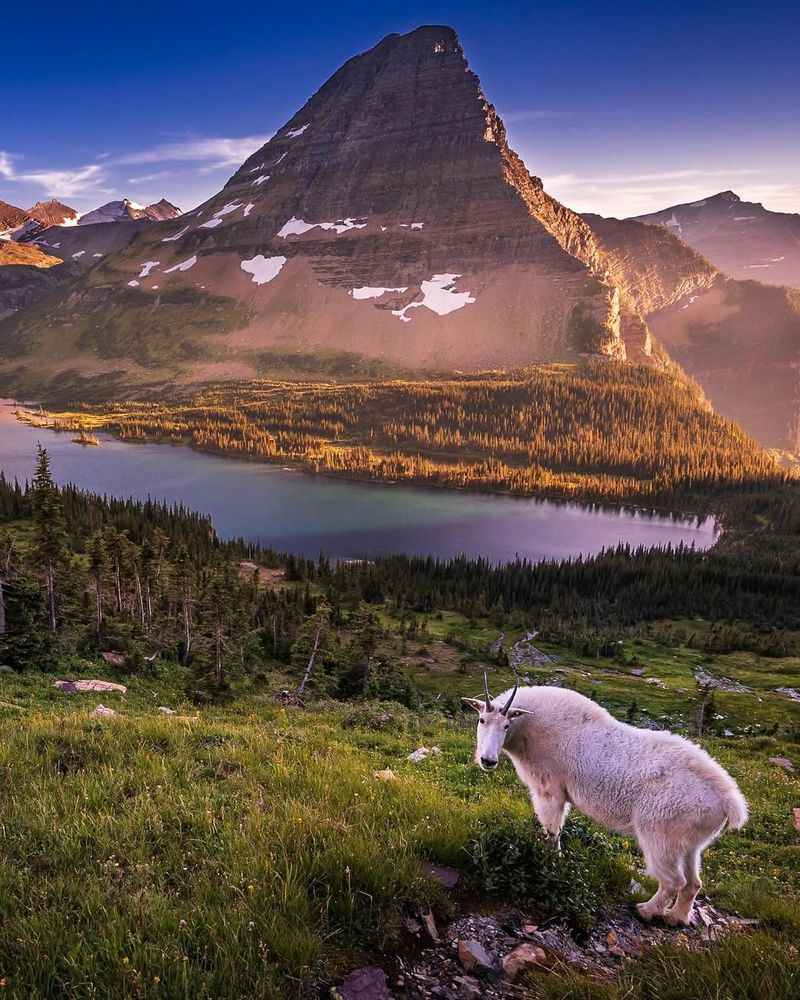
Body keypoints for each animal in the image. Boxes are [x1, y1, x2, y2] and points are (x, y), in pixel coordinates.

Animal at [466, 676, 748, 924]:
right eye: (481, 720)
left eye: (505, 726)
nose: (488, 760)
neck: (529, 727)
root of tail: (728, 800)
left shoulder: (549, 790)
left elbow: (552, 830)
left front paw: (549, 862)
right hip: (691, 843)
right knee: (693, 883)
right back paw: (675, 918)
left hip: (661, 835)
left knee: (673, 881)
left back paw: (645, 911)